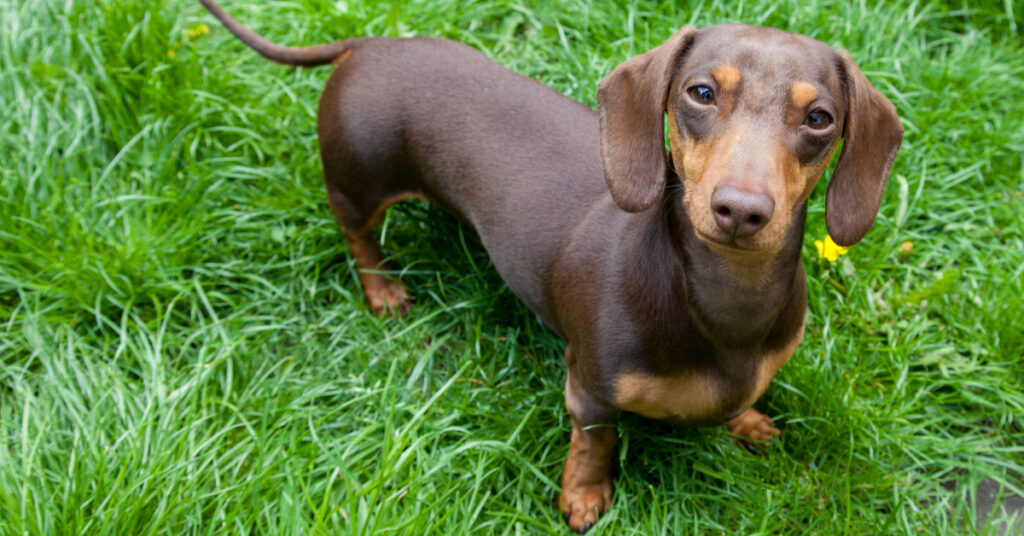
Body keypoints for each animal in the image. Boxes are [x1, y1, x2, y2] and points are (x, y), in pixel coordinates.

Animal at [195, 1, 901, 532]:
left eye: (819, 118)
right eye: (700, 92)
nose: (741, 210)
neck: (725, 303)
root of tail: (370, 43)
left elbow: (740, 400)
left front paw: (748, 423)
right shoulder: (588, 387)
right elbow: (595, 442)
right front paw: (583, 497)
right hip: (356, 182)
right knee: (359, 238)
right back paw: (384, 291)